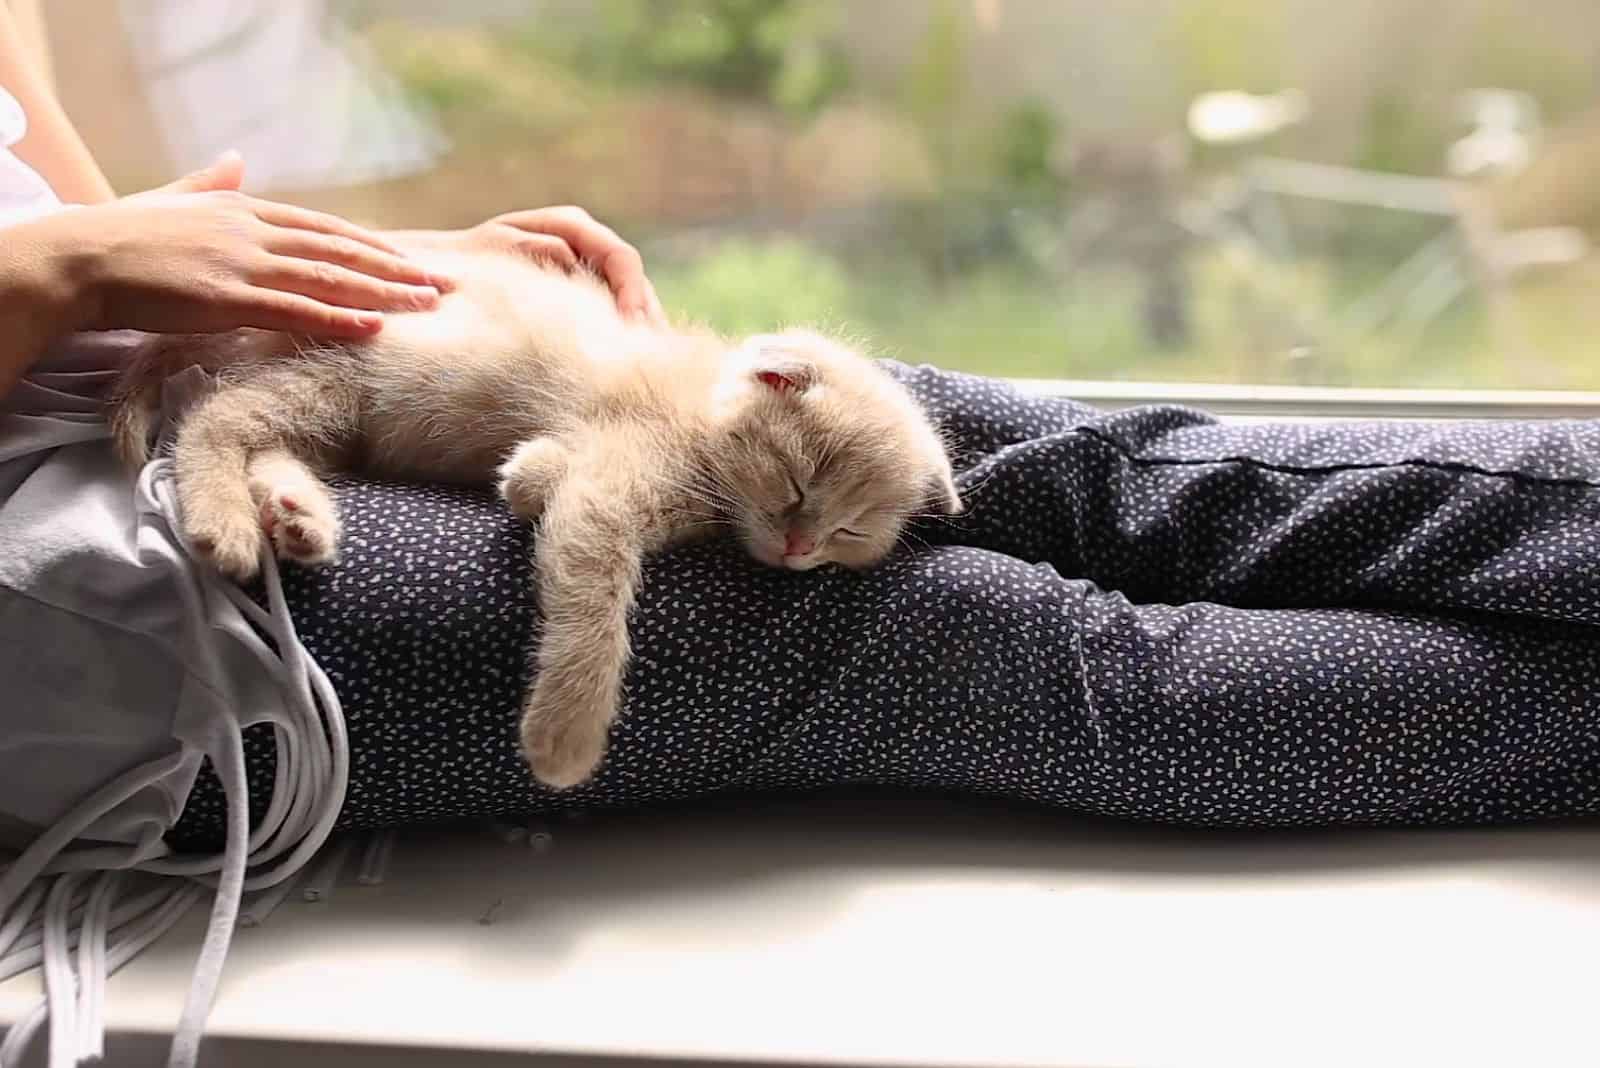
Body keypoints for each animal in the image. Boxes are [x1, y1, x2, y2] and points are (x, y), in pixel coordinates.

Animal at [116, 246, 960, 789]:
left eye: (852, 532)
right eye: (796, 484)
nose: (797, 546)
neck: (702, 422)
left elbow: (541, 480)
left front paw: (529, 476)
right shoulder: (611, 490)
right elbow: (593, 602)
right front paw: (566, 739)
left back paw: (297, 516)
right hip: (344, 377)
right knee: (219, 415)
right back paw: (226, 521)